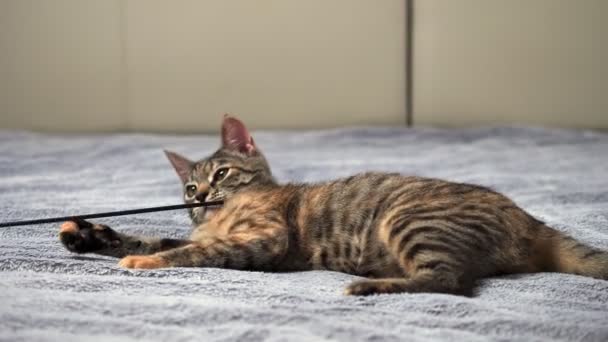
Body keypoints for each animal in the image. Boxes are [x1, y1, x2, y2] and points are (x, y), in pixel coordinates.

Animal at [59, 115, 608, 296]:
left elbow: (185, 251)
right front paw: (91, 235)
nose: (204, 198)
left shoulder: (264, 239)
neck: (226, 215)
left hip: (409, 220)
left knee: (448, 282)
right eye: (189, 190)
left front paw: (145, 260)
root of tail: (531, 220)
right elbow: (158, 235)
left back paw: (370, 287)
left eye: (222, 174)